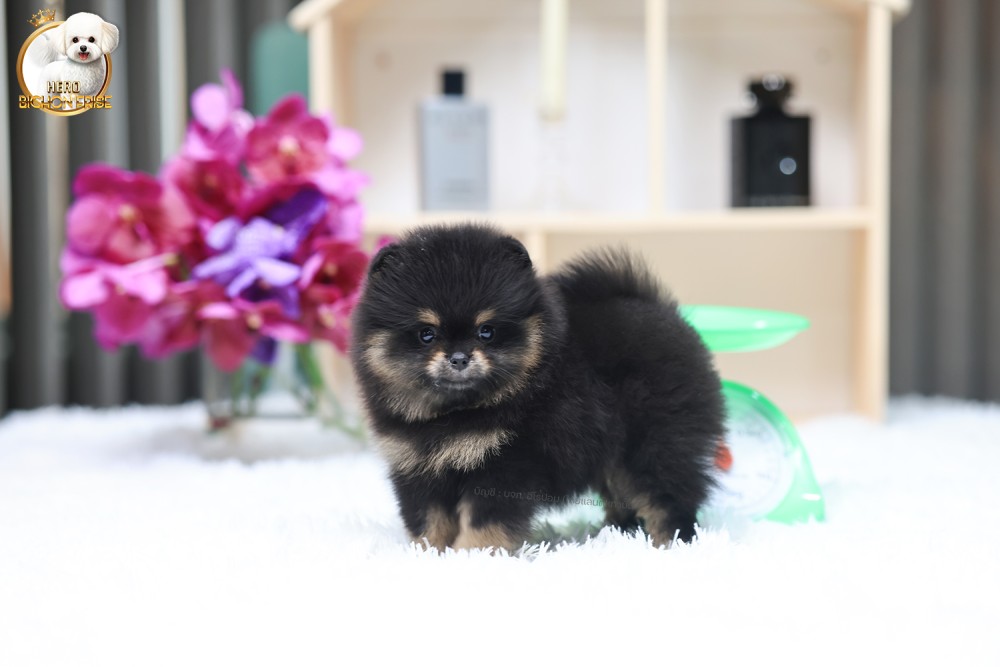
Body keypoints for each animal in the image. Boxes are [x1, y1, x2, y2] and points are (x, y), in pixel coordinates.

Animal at [351, 224, 725, 552]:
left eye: (486, 331)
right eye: (426, 334)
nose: (459, 357)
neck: (456, 413)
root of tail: (660, 308)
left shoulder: (504, 465)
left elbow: (483, 524)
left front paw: (472, 556)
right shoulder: (417, 467)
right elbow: (429, 523)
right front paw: (429, 555)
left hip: (654, 443)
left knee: (667, 498)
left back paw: (669, 543)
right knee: (623, 494)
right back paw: (617, 534)